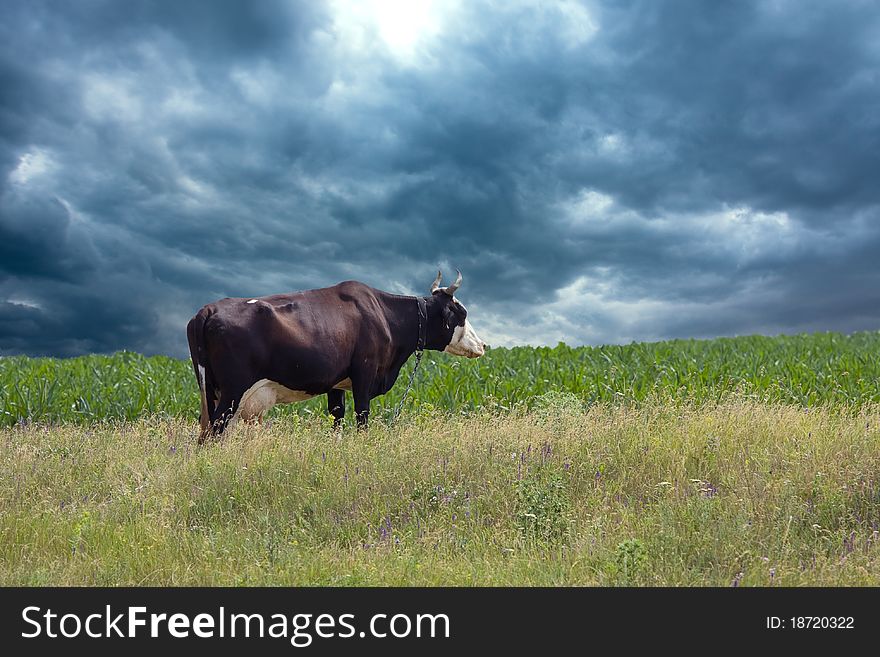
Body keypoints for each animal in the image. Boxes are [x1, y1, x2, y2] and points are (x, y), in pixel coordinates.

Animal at [187, 270, 488, 444]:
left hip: (211, 392)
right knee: (212, 434)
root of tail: (208, 309)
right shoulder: (364, 375)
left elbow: (337, 418)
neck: (384, 314)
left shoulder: (337, 383)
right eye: (461, 313)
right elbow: (362, 416)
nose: (483, 345)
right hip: (232, 392)